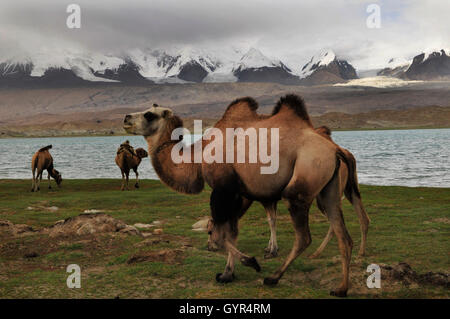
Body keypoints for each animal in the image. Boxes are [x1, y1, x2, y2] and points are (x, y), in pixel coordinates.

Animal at [207, 125, 370, 260]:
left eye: (209, 230)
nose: (209, 246)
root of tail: (343, 154)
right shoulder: (272, 199)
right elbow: (272, 219)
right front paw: (270, 247)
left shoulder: (266, 199)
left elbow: (271, 221)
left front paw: (272, 250)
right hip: (349, 188)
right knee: (361, 215)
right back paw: (360, 251)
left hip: (324, 194)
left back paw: (317, 252)